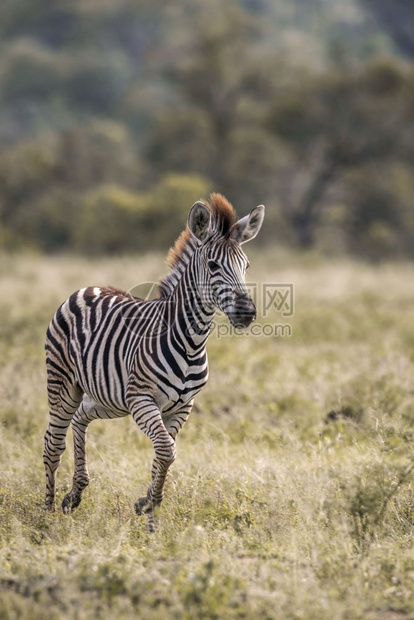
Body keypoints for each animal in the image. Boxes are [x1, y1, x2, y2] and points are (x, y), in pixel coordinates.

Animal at [43, 194, 264, 528]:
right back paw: (46, 513)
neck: (191, 342)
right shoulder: (143, 400)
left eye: (246, 266)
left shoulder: (181, 407)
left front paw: (148, 508)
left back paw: (75, 493)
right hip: (64, 385)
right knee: (52, 443)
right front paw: (150, 505)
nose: (247, 313)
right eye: (213, 265)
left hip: (110, 398)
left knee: (81, 417)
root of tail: (85, 288)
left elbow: (164, 453)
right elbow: (166, 450)